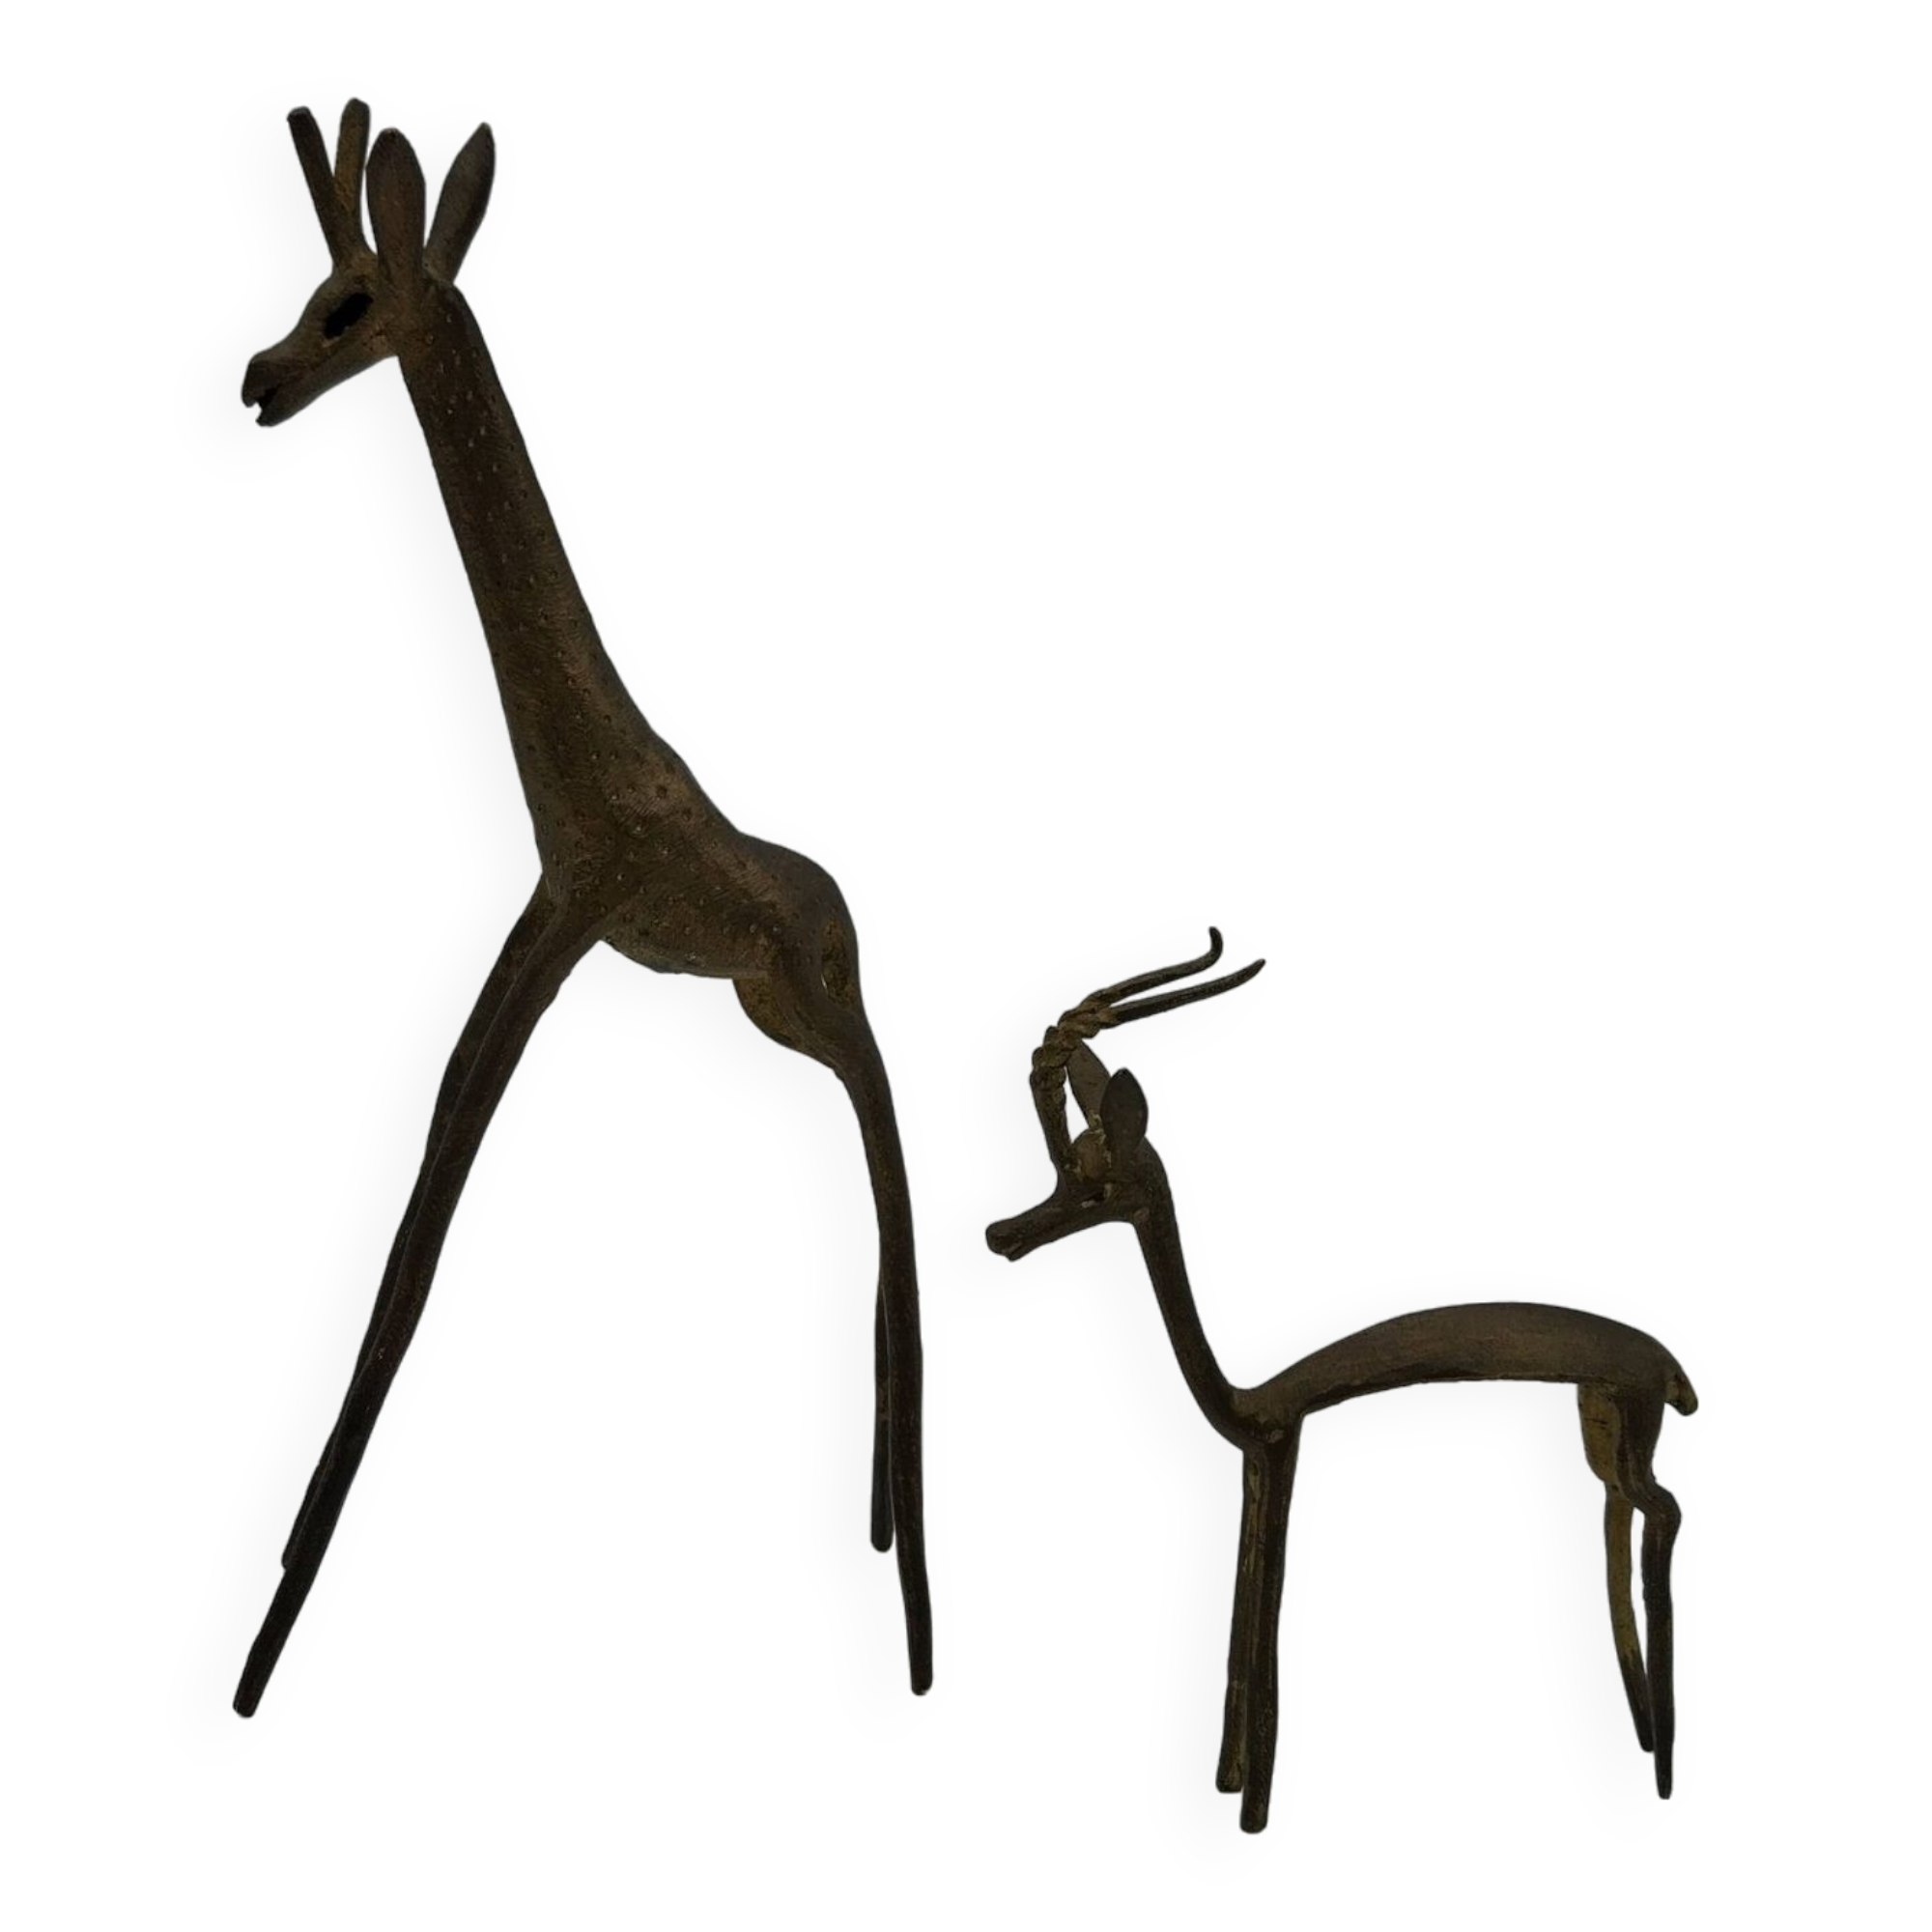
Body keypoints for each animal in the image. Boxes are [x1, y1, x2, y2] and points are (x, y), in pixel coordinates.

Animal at [233, 99, 933, 1713]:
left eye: (345, 305)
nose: (257, 381)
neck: (585, 753)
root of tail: (847, 918)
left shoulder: (574, 916)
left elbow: (416, 1269)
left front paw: (260, 1655)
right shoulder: (539, 913)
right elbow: (422, 1168)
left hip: (806, 1010)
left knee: (892, 1153)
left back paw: (922, 1612)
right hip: (764, 1017)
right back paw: (879, 1522)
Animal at [984, 930, 1696, 1831]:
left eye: (1093, 1183)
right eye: (1062, 1175)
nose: (1000, 1235)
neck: (1244, 1398)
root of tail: (1670, 1365)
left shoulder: (1283, 1446)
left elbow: (1265, 1625)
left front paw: (1255, 1809)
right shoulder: (1258, 1467)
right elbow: (1245, 1593)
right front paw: (1230, 1783)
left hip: (1631, 1414)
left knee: (1665, 1510)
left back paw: (1667, 1769)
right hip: (1601, 1413)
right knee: (1619, 1505)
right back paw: (1644, 1736)